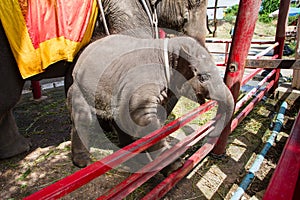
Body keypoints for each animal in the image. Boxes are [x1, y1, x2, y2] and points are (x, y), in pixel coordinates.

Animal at [68, 34, 234, 175]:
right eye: (203, 77)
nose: (209, 137)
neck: (169, 47)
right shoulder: (142, 81)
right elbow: (142, 116)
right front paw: (175, 166)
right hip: (79, 85)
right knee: (83, 117)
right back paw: (82, 162)